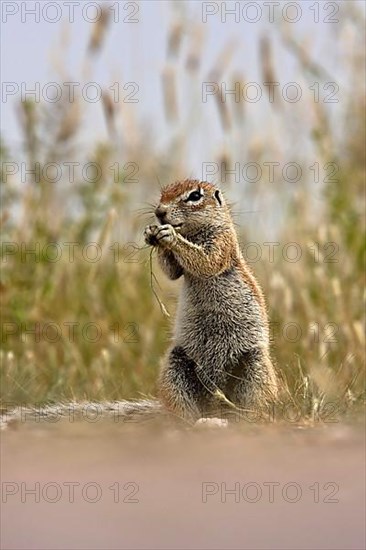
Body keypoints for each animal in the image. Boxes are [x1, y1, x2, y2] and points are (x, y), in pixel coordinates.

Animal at [143, 178, 278, 422]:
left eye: (195, 196)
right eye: (162, 194)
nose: (159, 212)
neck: (193, 234)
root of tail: (215, 406)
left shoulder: (222, 242)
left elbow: (206, 261)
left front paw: (169, 236)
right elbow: (172, 271)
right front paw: (151, 233)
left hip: (255, 367)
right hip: (175, 366)